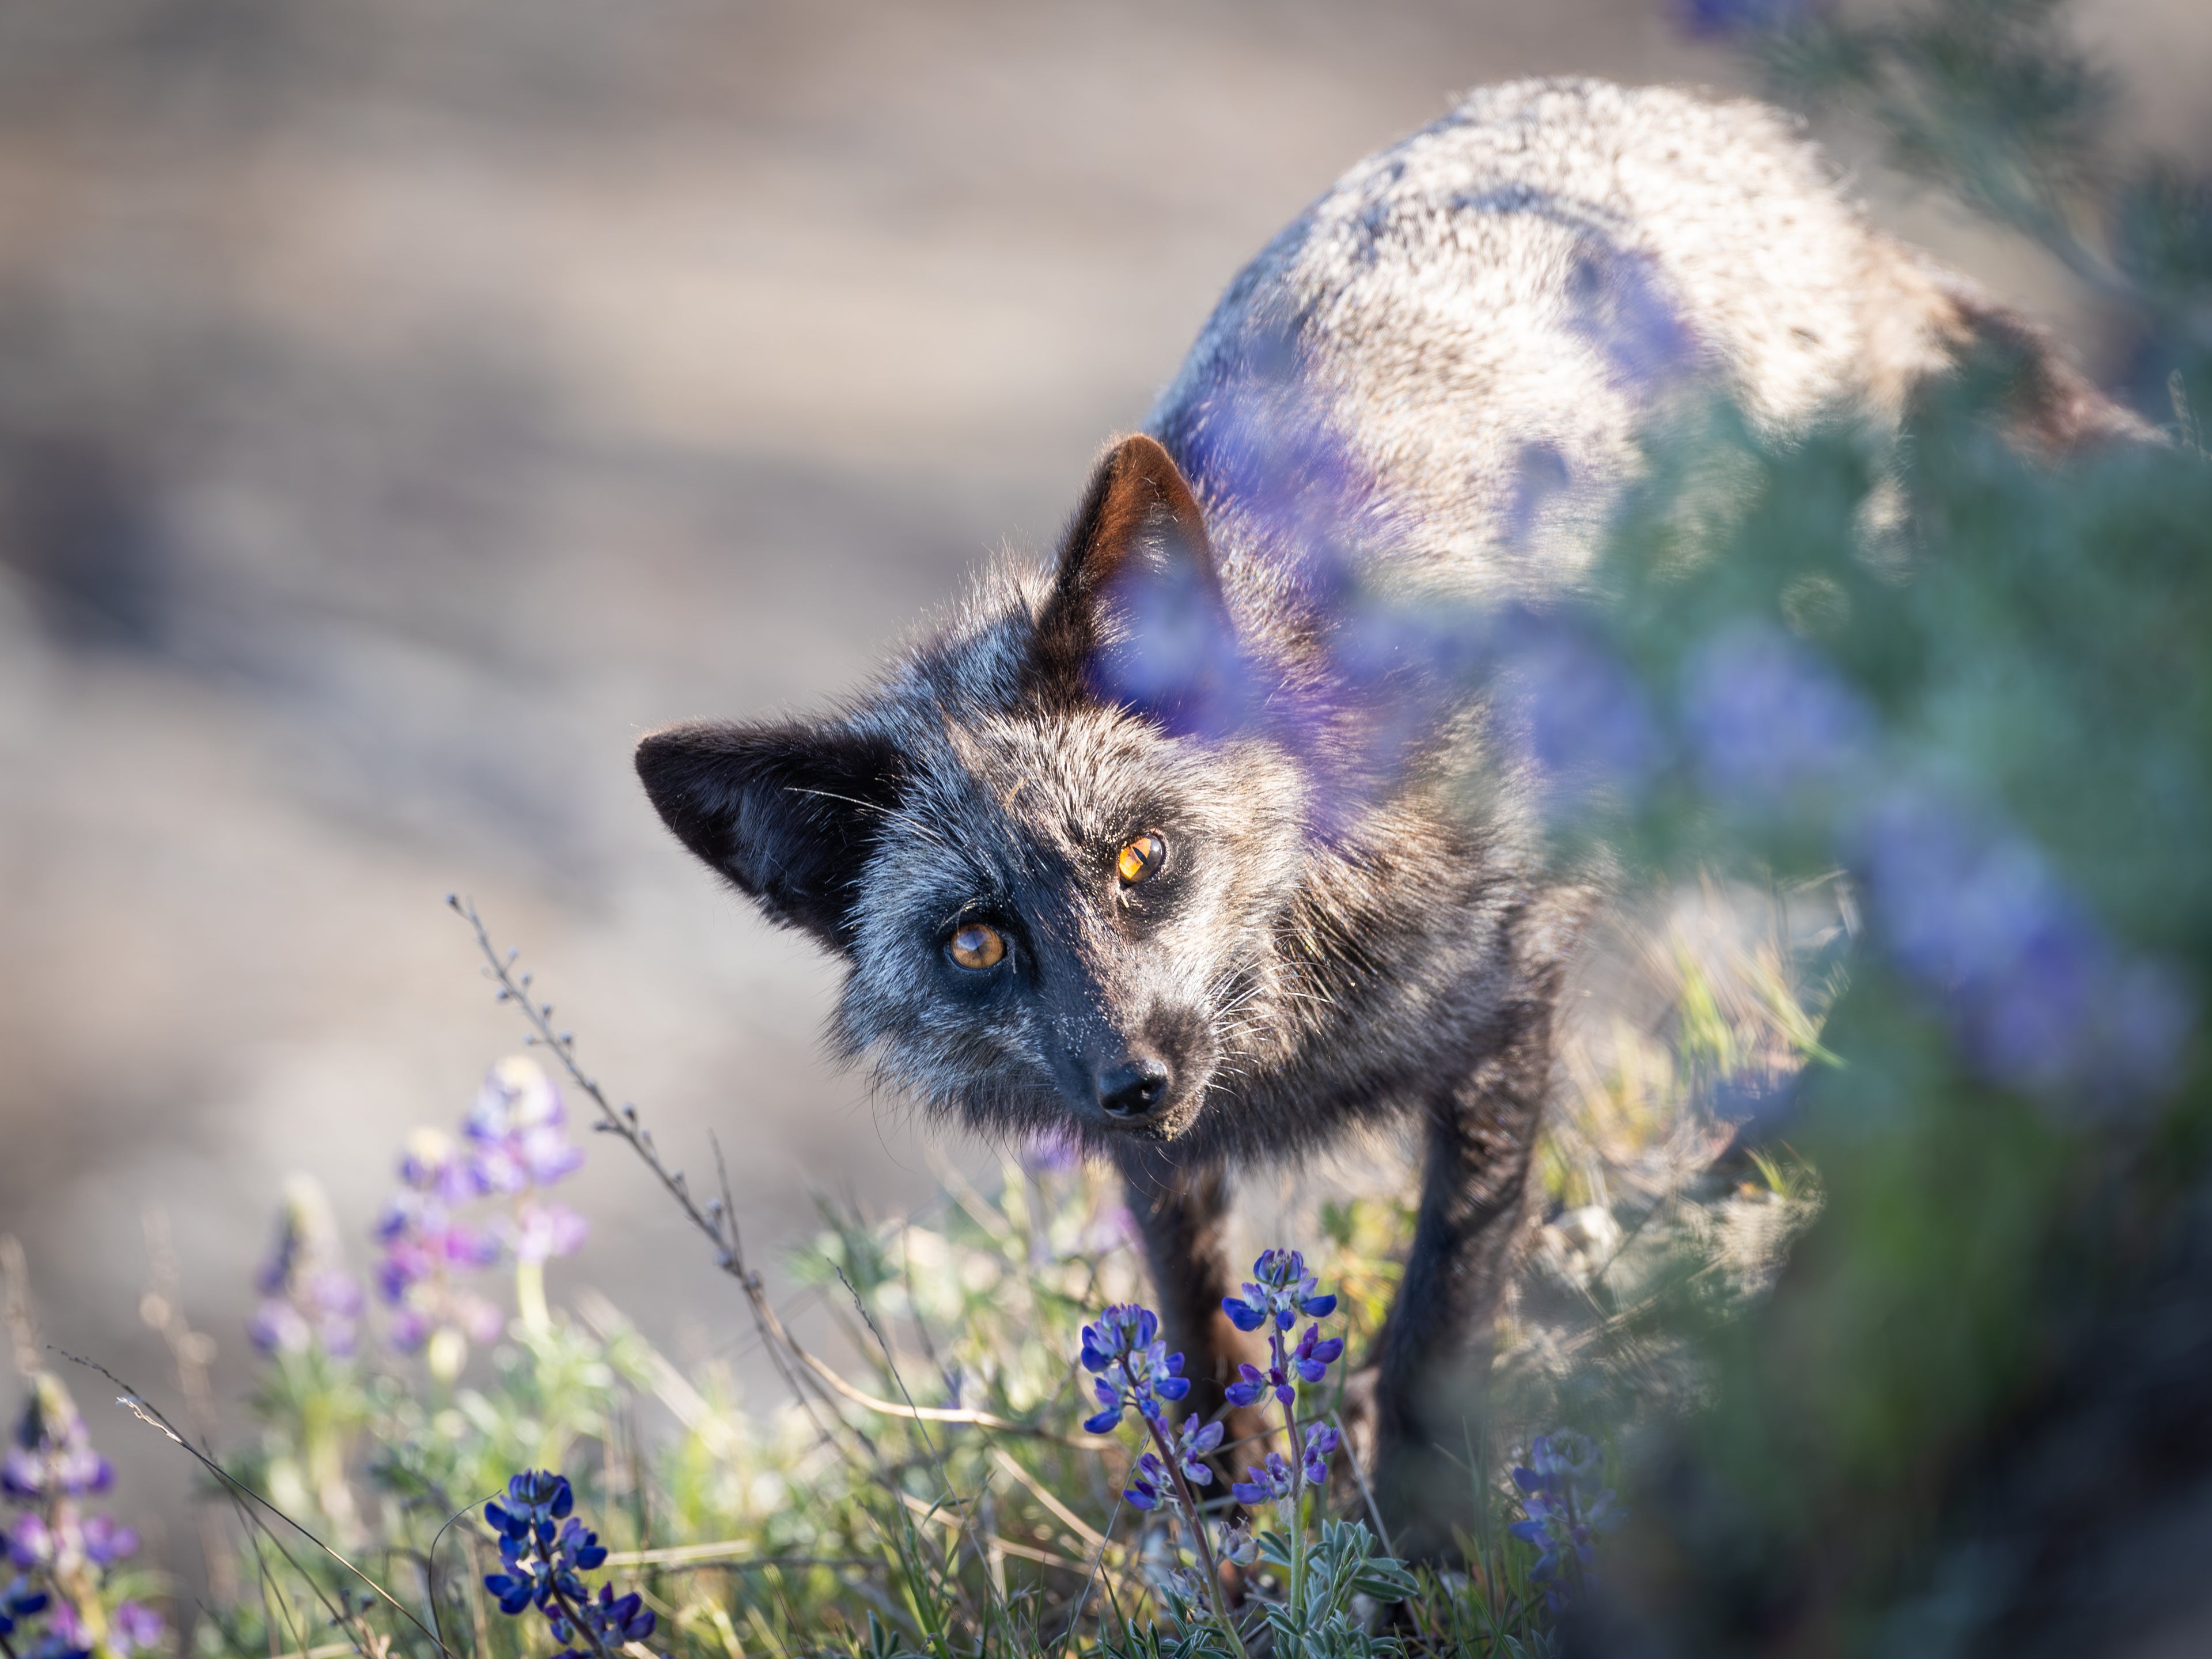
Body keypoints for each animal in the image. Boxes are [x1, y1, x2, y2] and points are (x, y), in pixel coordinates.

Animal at [635, 77, 2141, 1544]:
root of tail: (1780, 164)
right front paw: (1231, 1543)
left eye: (1141, 855)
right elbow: (1194, 1342)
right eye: (976, 941)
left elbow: (1439, 1324)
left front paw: (1422, 1555)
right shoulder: (1154, 1151)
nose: (1135, 1076)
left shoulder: (1503, 1009)